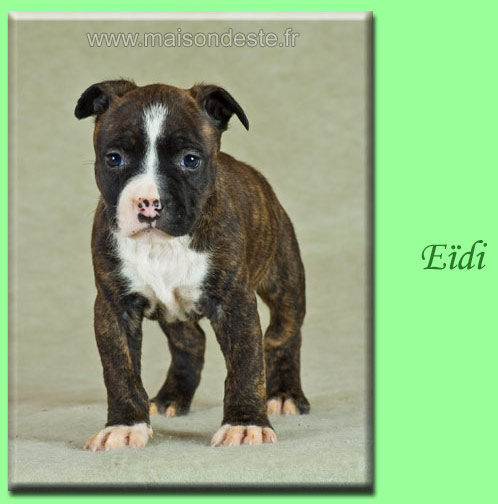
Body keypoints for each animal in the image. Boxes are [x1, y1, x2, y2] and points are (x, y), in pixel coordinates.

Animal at [74, 80, 310, 451]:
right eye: (114, 158)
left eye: (190, 160)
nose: (148, 202)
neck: (163, 244)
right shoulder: (114, 307)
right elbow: (120, 370)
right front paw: (124, 426)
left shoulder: (235, 303)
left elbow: (246, 363)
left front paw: (245, 423)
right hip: (173, 310)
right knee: (191, 341)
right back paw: (171, 397)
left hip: (284, 281)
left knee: (283, 335)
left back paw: (286, 394)